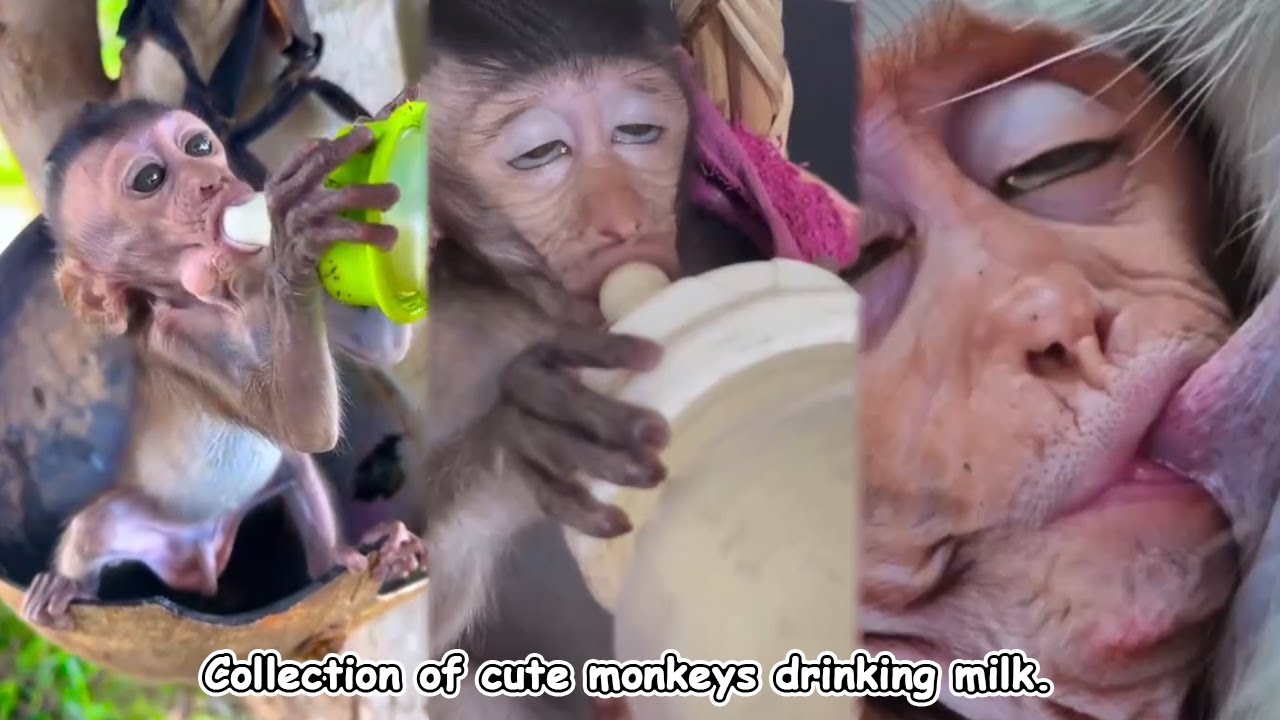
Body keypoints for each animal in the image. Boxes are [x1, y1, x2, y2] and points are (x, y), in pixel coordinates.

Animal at [19, 98, 425, 630]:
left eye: (198, 147)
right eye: (150, 179)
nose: (212, 181)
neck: (229, 295)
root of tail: (202, 560)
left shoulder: (253, 269)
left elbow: (376, 352)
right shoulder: (178, 343)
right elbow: (302, 426)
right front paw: (295, 232)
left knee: (295, 468)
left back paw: (342, 558)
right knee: (93, 528)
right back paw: (66, 587)